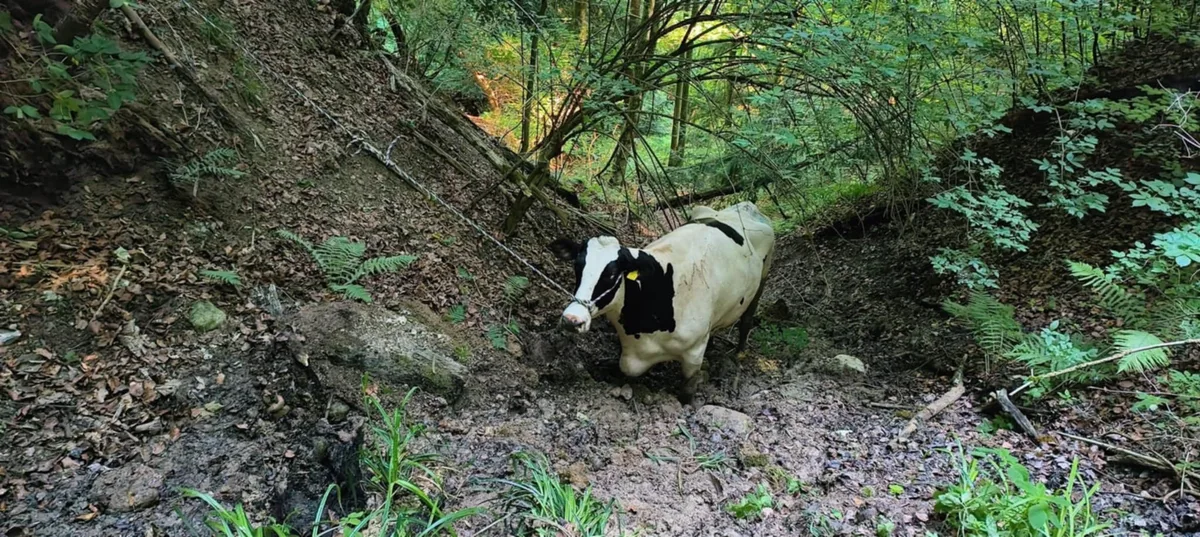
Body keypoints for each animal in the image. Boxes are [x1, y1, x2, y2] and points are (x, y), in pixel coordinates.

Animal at [548, 201, 776, 401]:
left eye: (612, 274)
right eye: (577, 266)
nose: (572, 319)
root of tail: (746, 205)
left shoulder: (693, 353)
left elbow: (687, 391)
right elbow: (626, 370)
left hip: (763, 278)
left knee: (747, 319)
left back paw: (739, 354)